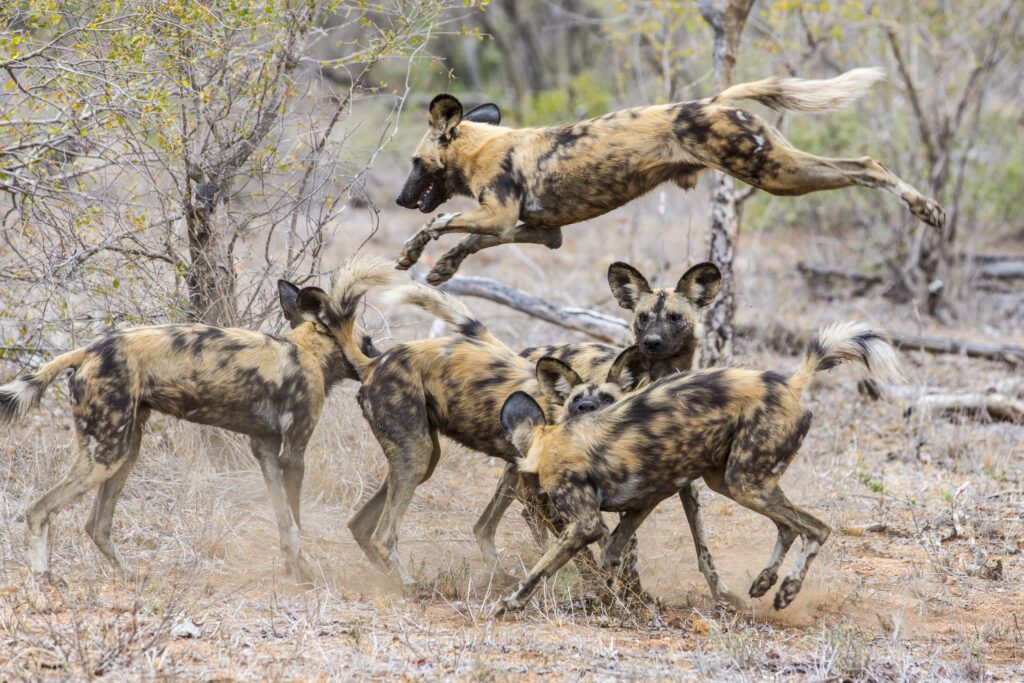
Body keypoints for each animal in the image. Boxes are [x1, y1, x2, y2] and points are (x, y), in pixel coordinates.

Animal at [0, 266, 387, 589]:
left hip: (124, 450)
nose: (379, 360)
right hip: (105, 455)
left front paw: (292, 568)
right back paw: (45, 578)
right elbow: (295, 521)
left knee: (97, 526)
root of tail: (88, 350)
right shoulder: (293, 453)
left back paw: (129, 576)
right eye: (367, 342)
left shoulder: (264, 449)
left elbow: (284, 523)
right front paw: (304, 574)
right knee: (38, 511)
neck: (307, 351)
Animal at [331, 270, 643, 589]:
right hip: (417, 457)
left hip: (426, 461)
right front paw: (606, 591)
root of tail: (373, 363)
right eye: (577, 402)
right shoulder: (541, 496)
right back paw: (411, 587)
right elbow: (589, 550)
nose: (587, 410)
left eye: (608, 400)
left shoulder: (522, 476)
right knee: (384, 535)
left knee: (364, 525)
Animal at [395, 68, 946, 284]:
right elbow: (469, 241)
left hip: (774, 173)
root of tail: (716, 100)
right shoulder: (538, 231)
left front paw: (410, 254)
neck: (480, 148)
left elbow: (437, 224)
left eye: (415, 164)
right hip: (778, 166)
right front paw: (442, 269)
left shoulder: (498, 214)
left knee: (866, 166)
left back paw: (927, 208)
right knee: (866, 165)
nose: (400, 199)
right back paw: (928, 208)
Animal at [495, 321, 905, 614]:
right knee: (789, 526)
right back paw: (763, 582)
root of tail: (789, 381)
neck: (551, 442)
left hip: (744, 483)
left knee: (816, 528)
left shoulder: (585, 523)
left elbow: (544, 568)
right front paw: (611, 604)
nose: (584, 409)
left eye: (606, 400)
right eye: (576, 402)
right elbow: (612, 557)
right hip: (730, 480)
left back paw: (787, 590)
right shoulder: (645, 500)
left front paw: (511, 603)